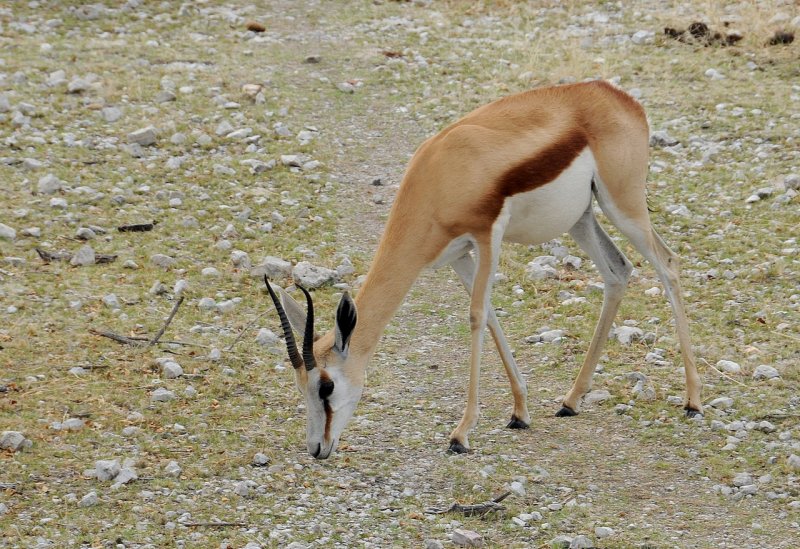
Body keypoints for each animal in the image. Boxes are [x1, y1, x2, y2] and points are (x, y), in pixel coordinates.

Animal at [268, 80, 700, 458]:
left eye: (326, 386)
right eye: (300, 386)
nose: (317, 448)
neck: (440, 175)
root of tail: (616, 95)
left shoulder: (488, 234)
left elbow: (476, 316)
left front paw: (460, 434)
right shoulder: (456, 254)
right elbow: (491, 315)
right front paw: (520, 412)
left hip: (623, 204)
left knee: (668, 263)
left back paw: (693, 401)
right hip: (582, 218)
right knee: (617, 271)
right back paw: (571, 400)